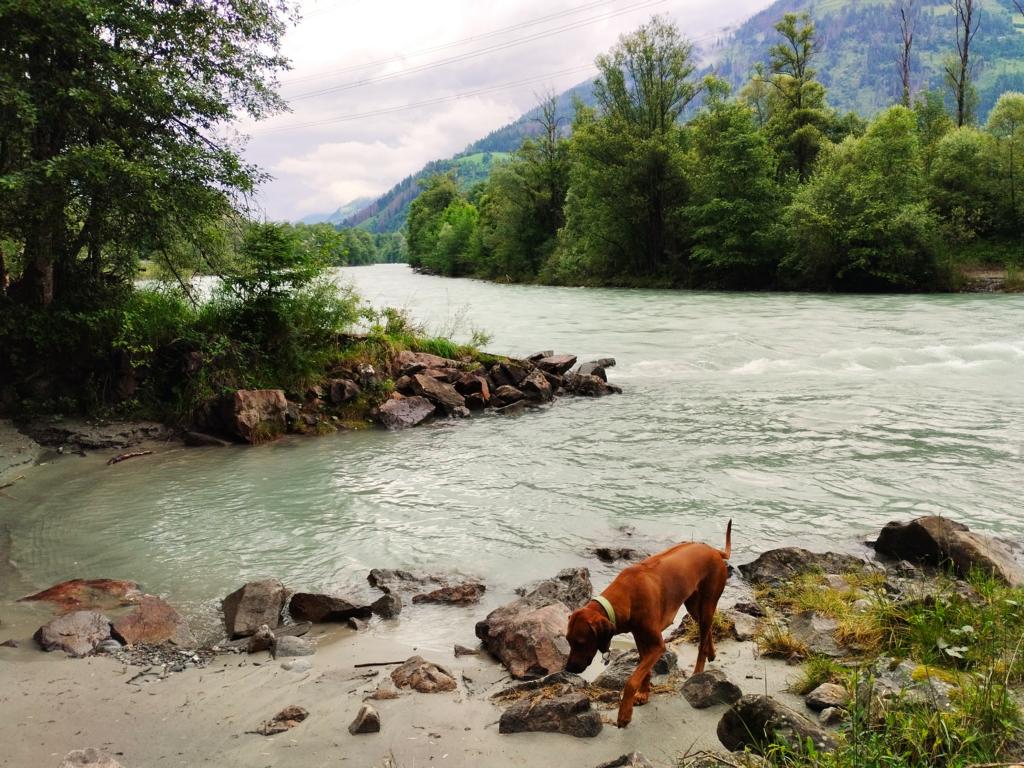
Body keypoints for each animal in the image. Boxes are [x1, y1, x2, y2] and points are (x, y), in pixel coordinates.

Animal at [569, 524, 729, 729]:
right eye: (568, 640)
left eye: (580, 642)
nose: (569, 669)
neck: (627, 596)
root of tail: (714, 551)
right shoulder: (640, 637)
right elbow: (644, 671)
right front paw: (644, 694)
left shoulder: (657, 645)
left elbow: (631, 680)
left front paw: (624, 714)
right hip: (694, 605)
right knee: (706, 629)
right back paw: (712, 652)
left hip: (708, 601)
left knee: (702, 638)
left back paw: (698, 671)